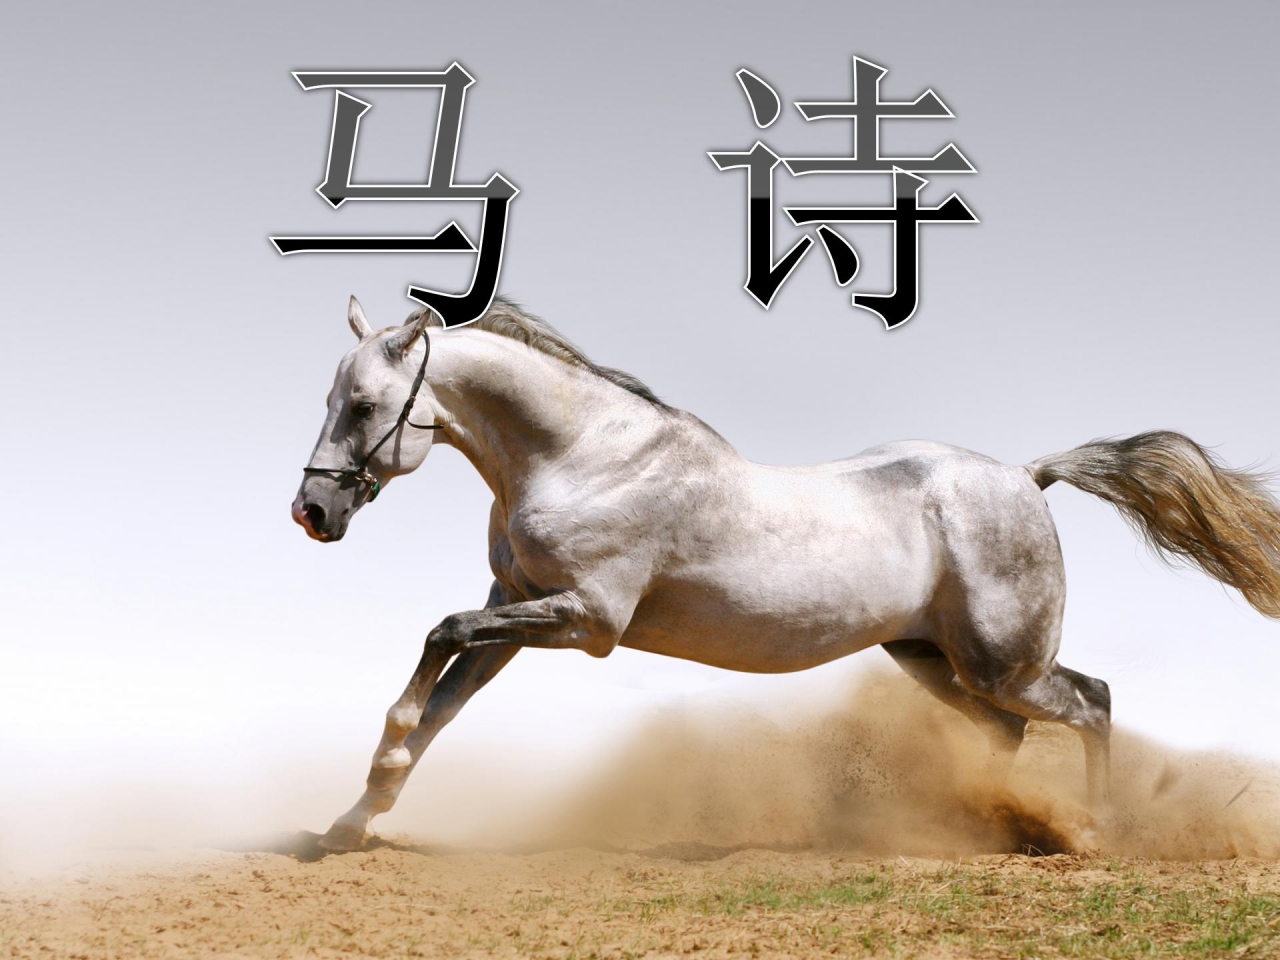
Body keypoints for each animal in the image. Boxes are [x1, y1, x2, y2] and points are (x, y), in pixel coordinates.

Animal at [292, 296, 1280, 852]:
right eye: (331, 398)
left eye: (366, 406)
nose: (312, 513)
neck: (580, 456)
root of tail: (1025, 476)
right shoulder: (521, 607)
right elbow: (442, 703)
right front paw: (352, 822)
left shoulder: (586, 620)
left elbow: (439, 637)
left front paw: (366, 793)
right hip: (932, 659)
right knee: (1008, 733)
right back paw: (994, 827)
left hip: (1006, 661)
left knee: (1094, 702)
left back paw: (1094, 833)